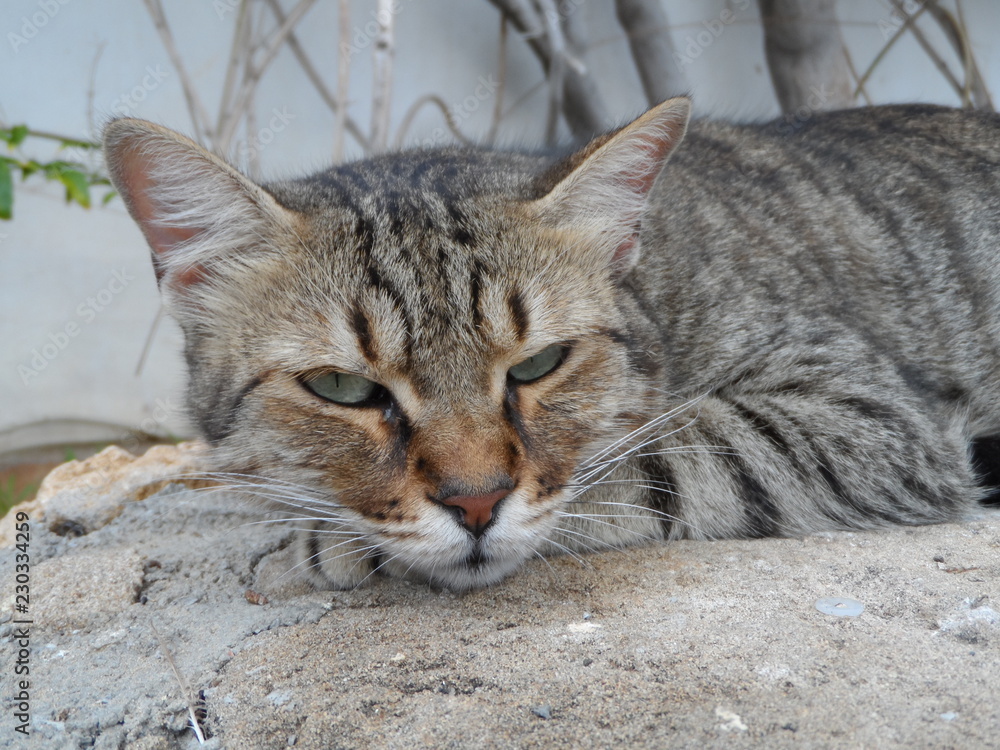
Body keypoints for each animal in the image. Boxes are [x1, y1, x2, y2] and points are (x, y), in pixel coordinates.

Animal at [101, 98, 1000, 592]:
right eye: (343, 389)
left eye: (538, 365)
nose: (475, 504)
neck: (660, 284)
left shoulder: (864, 414)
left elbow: (658, 457)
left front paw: (321, 550)